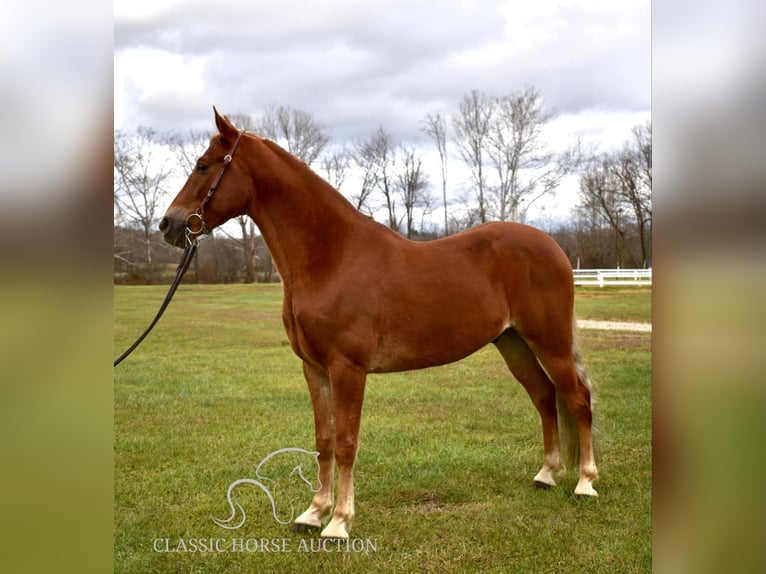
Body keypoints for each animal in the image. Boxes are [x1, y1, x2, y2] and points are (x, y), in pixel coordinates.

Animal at [160, 110, 600, 544]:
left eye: (203, 166)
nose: (168, 224)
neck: (331, 256)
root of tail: (552, 246)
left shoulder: (347, 369)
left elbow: (345, 442)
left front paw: (339, 522)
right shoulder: (314, 369)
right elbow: (323, 440)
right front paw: (313, 514)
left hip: (550, 343)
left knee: (577, 399)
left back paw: (585, 483)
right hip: (513, 343)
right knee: (544, 397)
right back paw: (546, 474)